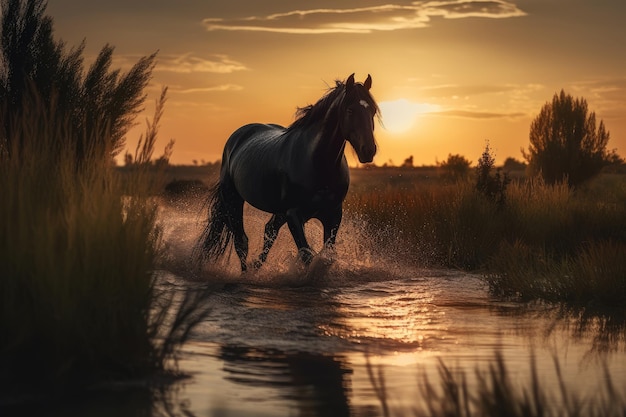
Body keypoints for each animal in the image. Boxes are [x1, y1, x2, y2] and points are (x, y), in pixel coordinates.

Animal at [197, 73, 378, 272]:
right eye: (350, 110)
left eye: (373, 111)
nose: (368, 150)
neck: (317, 163)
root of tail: (237, 137)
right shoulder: (294, 215)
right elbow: (307, 255)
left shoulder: (333, 215)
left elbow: (327, 257)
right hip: (233, 199)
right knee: (241, 242)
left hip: (278, 211)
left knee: (269, 230)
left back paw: (255, 266)